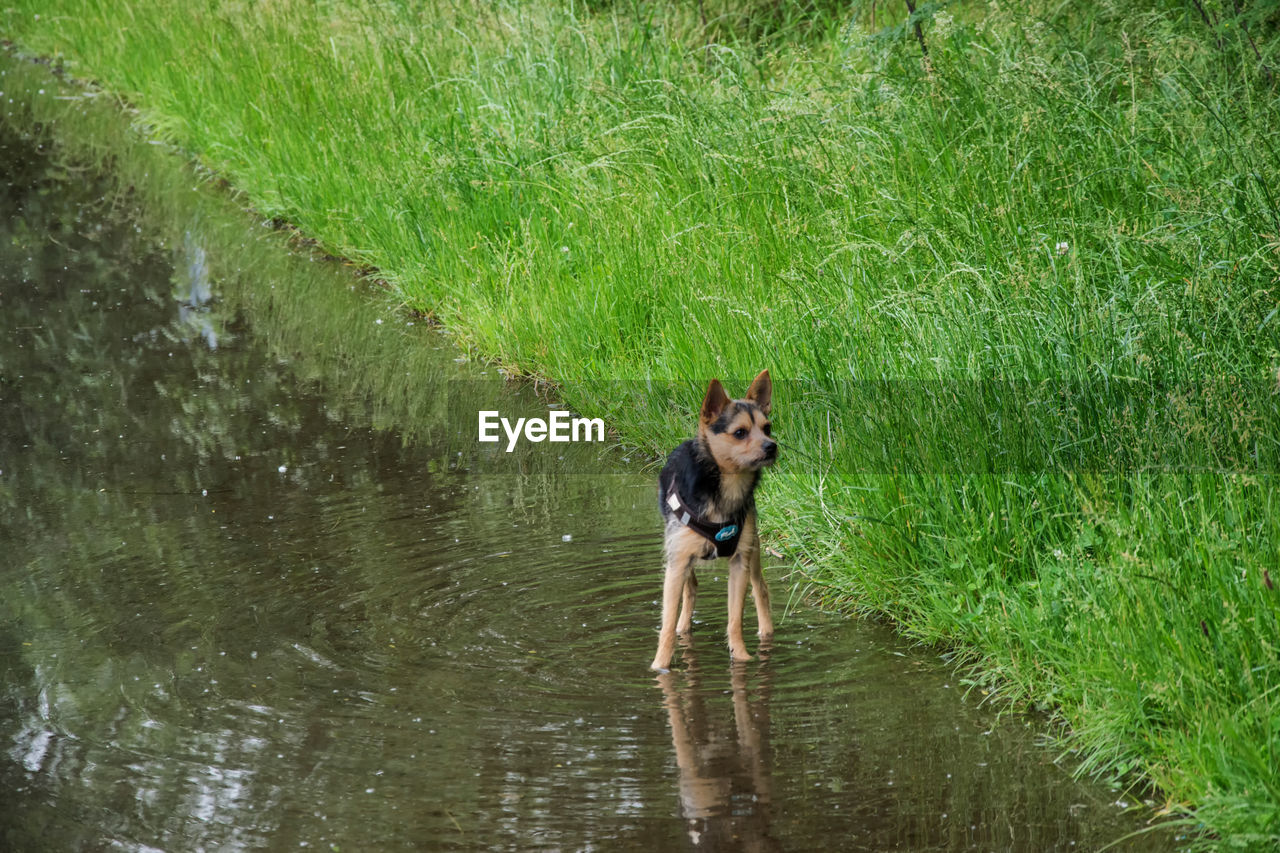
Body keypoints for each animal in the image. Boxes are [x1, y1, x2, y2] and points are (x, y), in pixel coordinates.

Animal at [655, 368, 773, 666]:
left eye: (767, 428)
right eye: (740, 433)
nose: (772, 446)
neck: (726, 487)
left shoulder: (740, 562)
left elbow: (735, 619)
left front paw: (741, 657)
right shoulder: (677, 563)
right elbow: (667, 623)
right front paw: (660, 666)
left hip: (753, 550)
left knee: (761, 588)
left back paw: (767, 633)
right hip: (679, 557)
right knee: (690, 589)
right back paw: (683, 628)